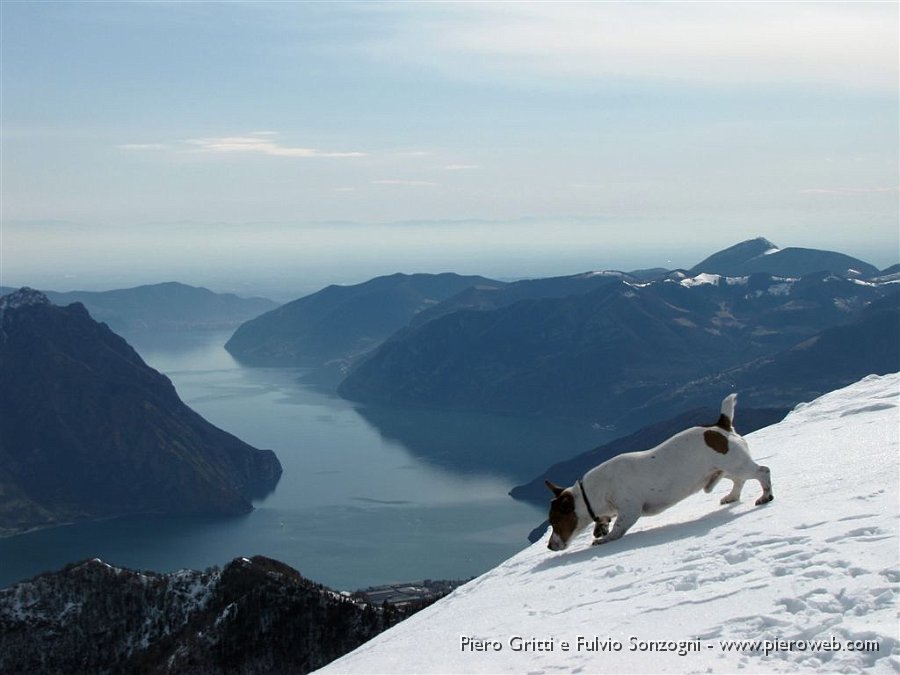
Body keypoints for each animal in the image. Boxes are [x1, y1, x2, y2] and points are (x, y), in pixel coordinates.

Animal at [544, 394, 768, 552]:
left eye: (555, 522)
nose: (549, 546)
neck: (591, 494)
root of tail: (720, 426)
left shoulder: (630, 509)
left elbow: (618, 528)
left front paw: (605, 538)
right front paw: (601, 528)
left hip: (737, 464)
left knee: (762, 472)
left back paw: (766, 496)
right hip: (723, 469)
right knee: (739, 480)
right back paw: (732, 496)